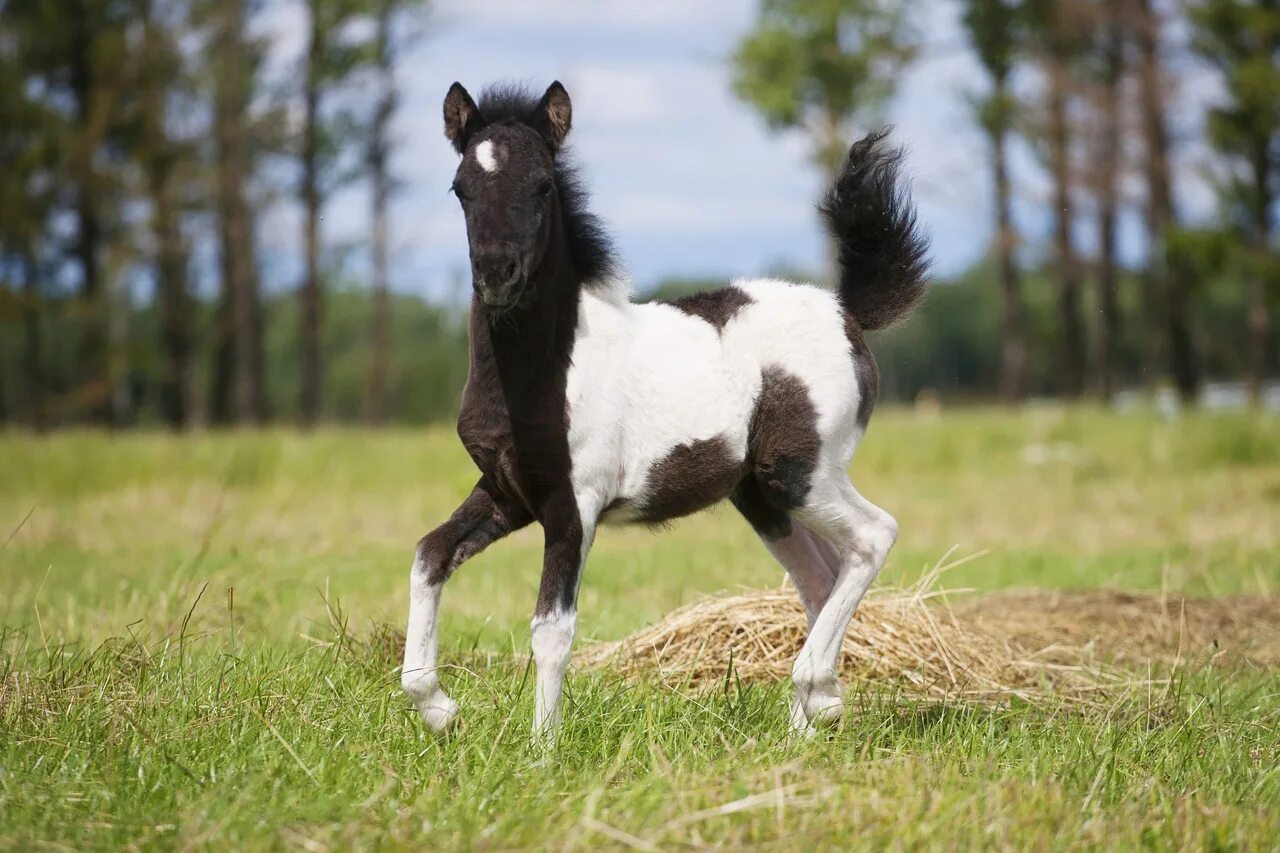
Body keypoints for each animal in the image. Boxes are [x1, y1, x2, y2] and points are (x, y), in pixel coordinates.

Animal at [399, 83, 931, 742]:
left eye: (543, 185)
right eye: (460, 187)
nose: (497, 274)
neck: (547, 370)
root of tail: (846, 310)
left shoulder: (574, 506)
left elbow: (552, 630)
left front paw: (542, 748)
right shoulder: (507, 493)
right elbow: (429, 555)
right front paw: (438, 708)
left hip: (802, 476)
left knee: (873, 536)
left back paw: (818, 690)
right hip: (762, 497)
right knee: (820, 577)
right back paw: (803, 730)